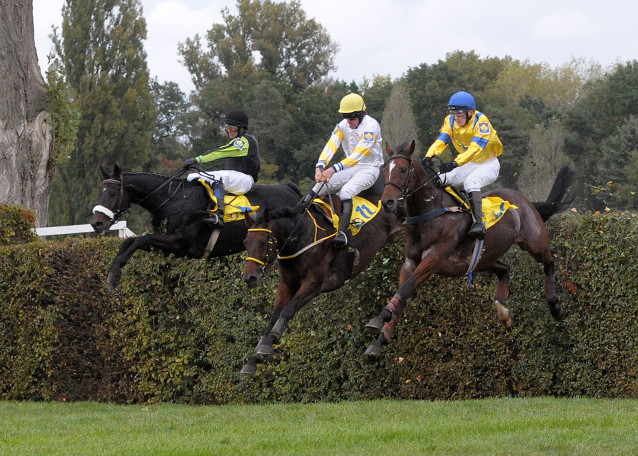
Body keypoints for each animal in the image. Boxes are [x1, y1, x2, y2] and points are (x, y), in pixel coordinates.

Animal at [88, 164, 304, 290]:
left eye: (113, 193)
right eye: (100, 192)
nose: (97, 223)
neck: (173, 199)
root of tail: (288, 188)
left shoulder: (181, 243)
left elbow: (142, 239)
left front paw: (115, 275)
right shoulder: (167, 248)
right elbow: (132, 241)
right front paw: (113, 272)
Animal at [238, 175, 402, 374]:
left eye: (263, 242)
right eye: (245, 242)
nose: (250, 277)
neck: (300, 238)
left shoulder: (314, 284)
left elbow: (287, 310)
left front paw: (271, 339)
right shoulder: (286, 285)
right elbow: (273, 317)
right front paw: (254, 357)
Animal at [364, 139, 580, 356]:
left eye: (403, 169)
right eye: (385, 170)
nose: (387, 202)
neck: (430, 213)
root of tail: (526, 200)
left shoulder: (434, 259)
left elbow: (407, 287)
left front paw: (380, 317)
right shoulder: (410, 262)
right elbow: (403, 293)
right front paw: (379, 339)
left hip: (534, 242)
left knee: (550, 261)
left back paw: (555, 307)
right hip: (483, 260)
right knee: (505, 269)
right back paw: (504, 311)